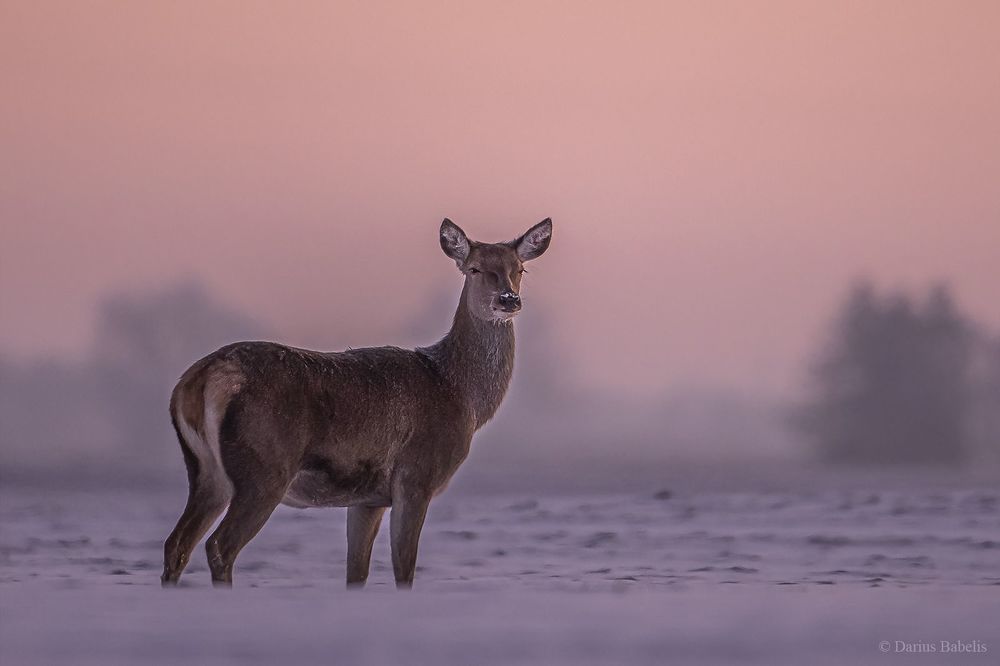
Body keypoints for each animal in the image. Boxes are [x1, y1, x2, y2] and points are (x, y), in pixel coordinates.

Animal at [161, 218, 552, 588]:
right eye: (473, 268)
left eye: (520, 269)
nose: (508, 299)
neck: (460, 394)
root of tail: (197, 380)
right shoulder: (415, 477)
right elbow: (404, 569)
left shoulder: (367, 499)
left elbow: (356, 573)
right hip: (263, 467)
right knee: (219, 546)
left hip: (205, 469)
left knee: (176, 543)